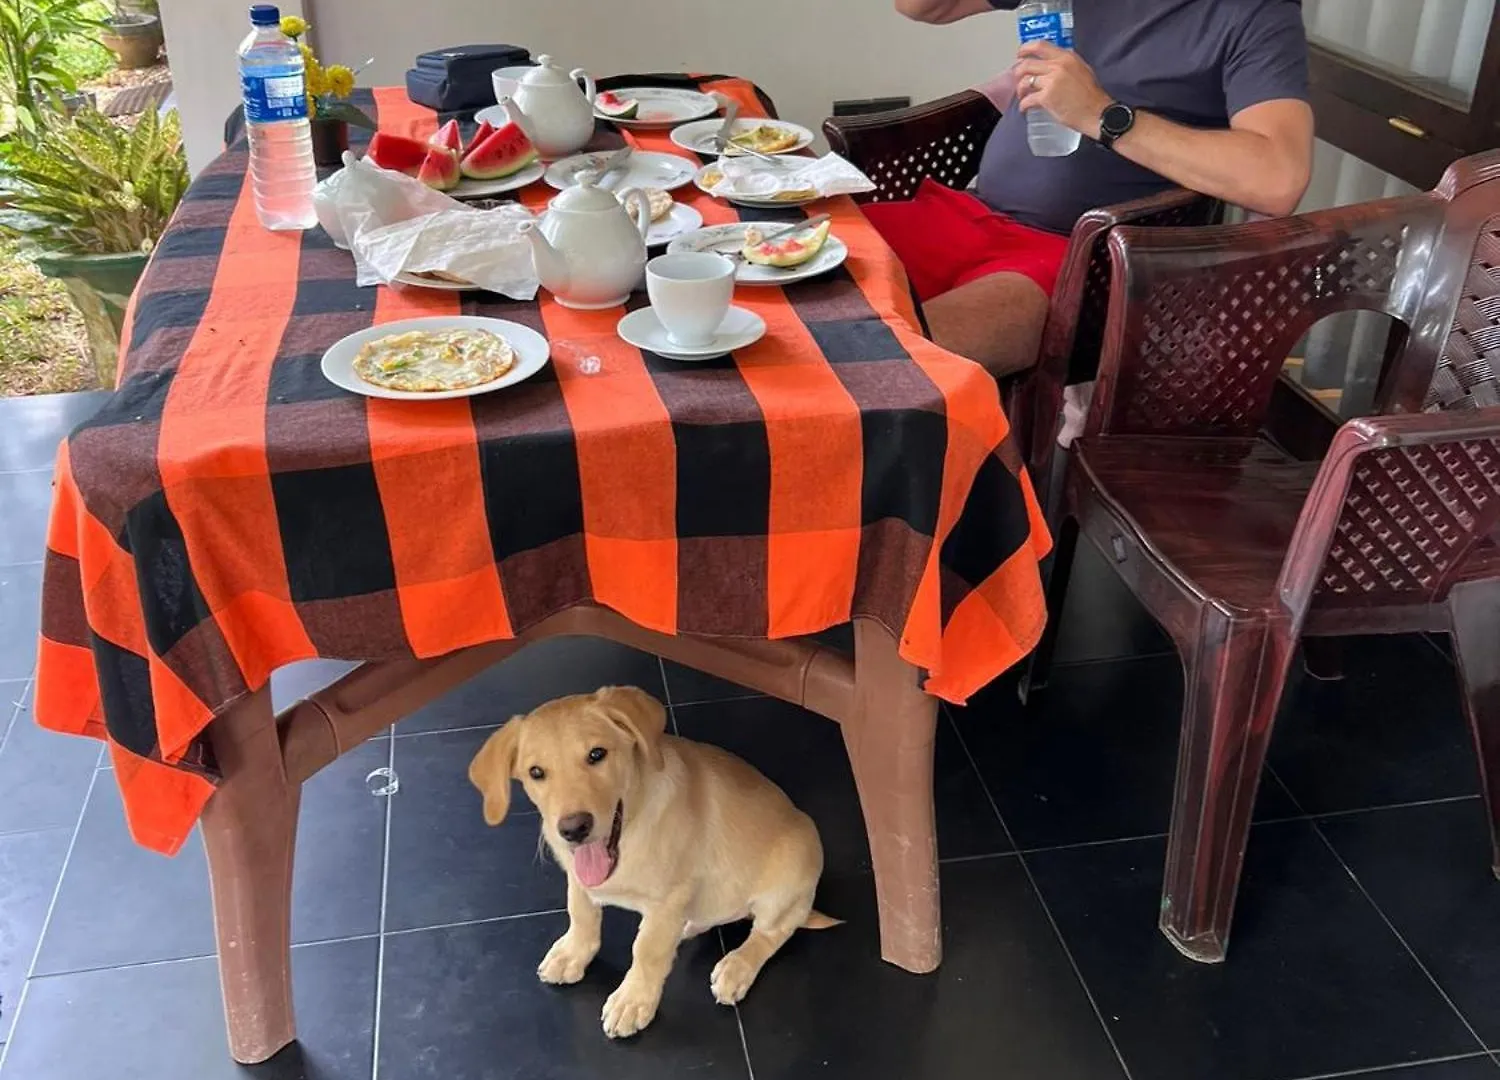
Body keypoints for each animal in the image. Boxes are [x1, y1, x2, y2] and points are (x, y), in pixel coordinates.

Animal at [468, 684, 840, 1038]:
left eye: (597, 754)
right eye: (536, 772)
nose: (573, 829)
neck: (630, 834)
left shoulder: (668, 899)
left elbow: (646, 951)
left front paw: (632, 1001)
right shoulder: (578, 878)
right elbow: (581, 913)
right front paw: (573, 952)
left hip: (789, 876)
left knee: (771, 933)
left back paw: (737, 966)